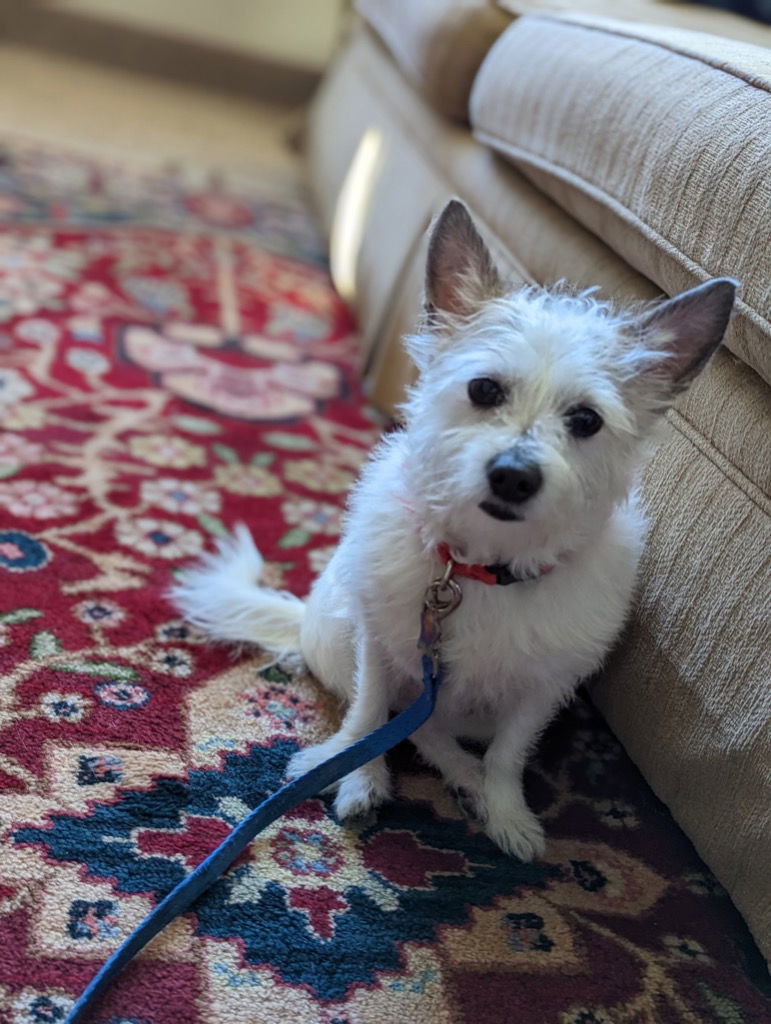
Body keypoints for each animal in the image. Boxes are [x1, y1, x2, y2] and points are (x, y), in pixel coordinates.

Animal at [173, 197, 733, 856]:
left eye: (586, 421)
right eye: (484, 389)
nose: (514, 476)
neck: (479, 570)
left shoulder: (542, 689)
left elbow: (508, 756)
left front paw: (507, 812)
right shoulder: (379, 641)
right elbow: (367, 713)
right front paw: (351, 771)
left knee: (433, 732)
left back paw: (467, 781)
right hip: (344, 630)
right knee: (397, 721)